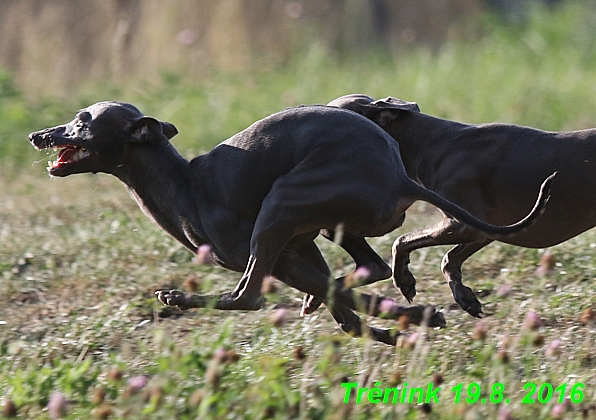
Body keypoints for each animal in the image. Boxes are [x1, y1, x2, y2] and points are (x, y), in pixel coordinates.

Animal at [30, 102, 556, 344]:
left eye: (82, 119)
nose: (39, 134)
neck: (182, 185)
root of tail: (399, 173)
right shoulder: (300, 249)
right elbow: (344, 300)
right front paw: (399, 323)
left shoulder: (273, 253)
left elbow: (329, 295)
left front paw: (413, 317)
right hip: (320, 224)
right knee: (368, 271)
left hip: (282, 203)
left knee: (247, 298)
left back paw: (177, 298)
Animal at [318, 95, 580, 316]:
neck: (431, 142)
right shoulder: (488, 227)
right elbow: (449, 259)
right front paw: (464, 297)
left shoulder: (463, 224)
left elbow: (401, 242)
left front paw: (404, 280)